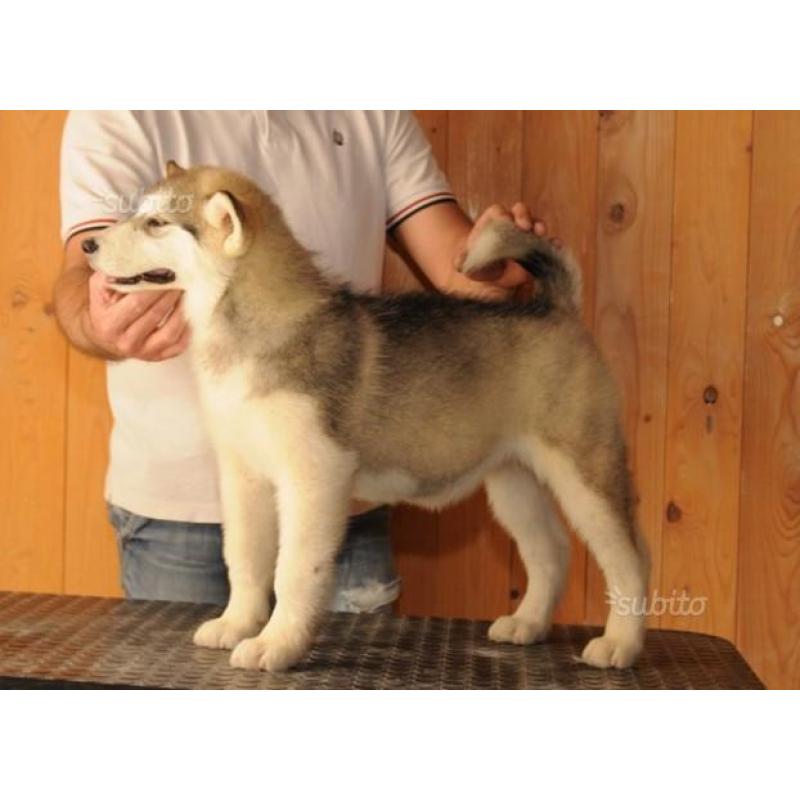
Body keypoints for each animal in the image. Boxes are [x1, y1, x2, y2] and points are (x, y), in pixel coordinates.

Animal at [84, 164, 648, 676]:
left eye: (157, 223)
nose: (88, 245)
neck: (243, 330)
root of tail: (554, 308)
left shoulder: (314, 476)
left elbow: (293, 570)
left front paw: (276, 645)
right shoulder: (242, 475)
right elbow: (242, 556)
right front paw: (237, 624)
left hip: (584, 471)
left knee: (630, 557)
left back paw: (620, 643)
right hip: (513, 480)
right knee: (551, 550)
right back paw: (528, 623)